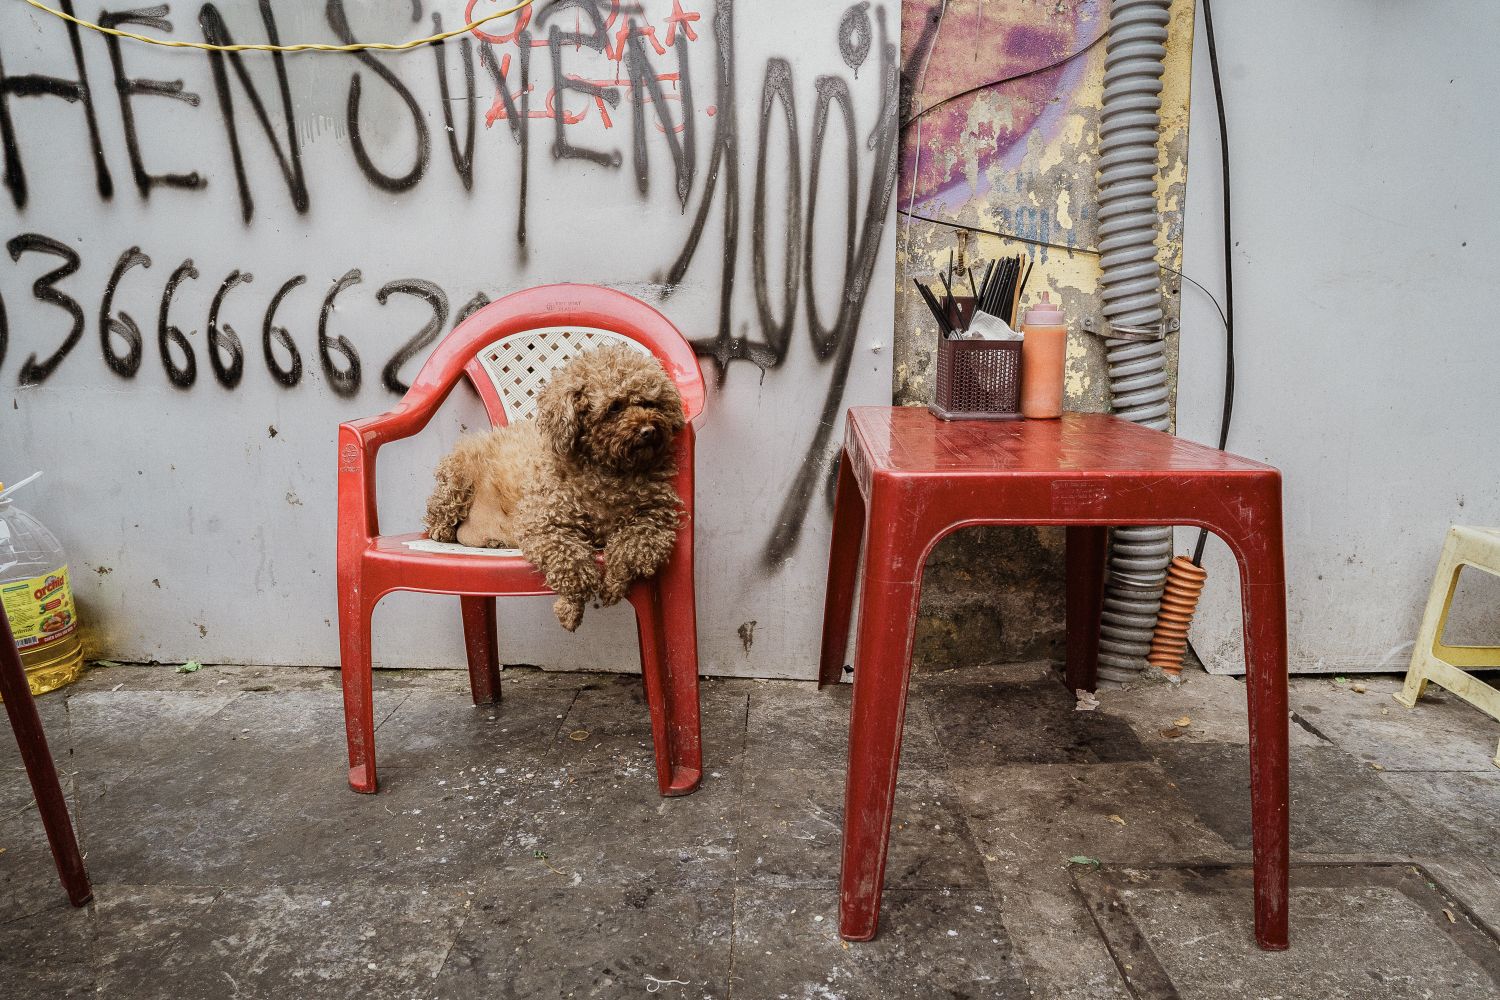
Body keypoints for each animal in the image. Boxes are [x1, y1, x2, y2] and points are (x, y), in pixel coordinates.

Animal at [423, 343, 686, 631]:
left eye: (651, 402)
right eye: (614, 407)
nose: (649, 430)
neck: (607, 471)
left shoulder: (652, 521)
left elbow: (631, 551)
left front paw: (614, 584)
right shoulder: (544, 523)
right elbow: (572, 563)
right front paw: (571, 607)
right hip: (458, 474)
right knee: (441, 513)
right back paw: (442, 530)